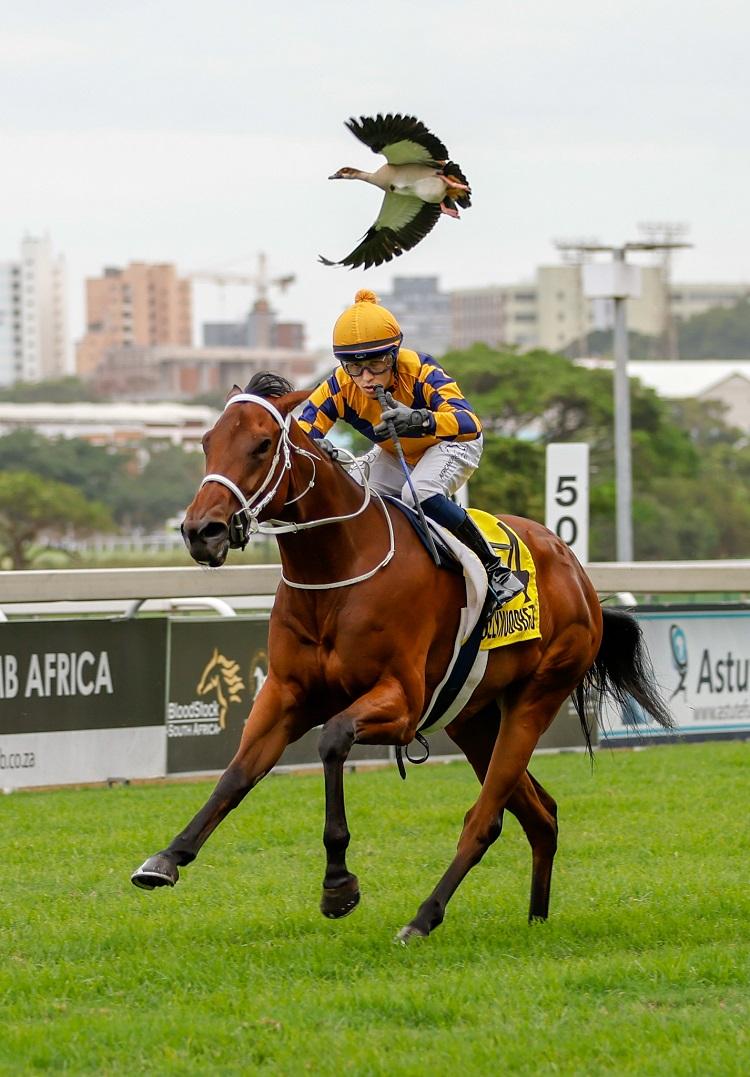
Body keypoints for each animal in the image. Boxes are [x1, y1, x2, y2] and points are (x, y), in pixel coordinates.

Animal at [131, 372, 672, 942]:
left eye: (261, 444)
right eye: (207, 442)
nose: (201, 532)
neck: (339, 567)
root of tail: (575, 568)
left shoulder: (403, 702)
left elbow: (332, 741)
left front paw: (338, 885)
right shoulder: (285, 693)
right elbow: (236, 775)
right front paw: (167, 858)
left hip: (536, 698)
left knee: (485, 819)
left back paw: (422, 918)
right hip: (472, 719)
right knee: (538, 814)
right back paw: (535, 919)